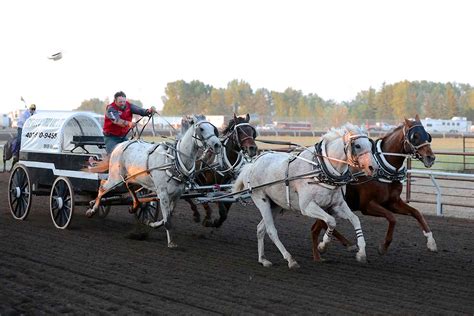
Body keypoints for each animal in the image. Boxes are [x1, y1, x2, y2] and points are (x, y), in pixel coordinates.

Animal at [86, 115, 221, 248]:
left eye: (213, 128)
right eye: (201, 129)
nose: (217, 145)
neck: (173, 160)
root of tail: (120, 145)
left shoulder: (176, 195)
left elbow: (169, 215)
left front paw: (152, 223)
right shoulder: (163, 194)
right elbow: (167, 220)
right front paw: (171, 243)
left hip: (132, 178)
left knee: (129, 187)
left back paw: (134, 206)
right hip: (116, 178)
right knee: (102, 187)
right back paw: (92, 210)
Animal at [233, 123, 378, 270]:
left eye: (370, 145)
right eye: (358, 145)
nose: (373, 167)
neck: (319, 169)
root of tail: (252, 164)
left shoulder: (337, 205)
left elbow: (355, 219)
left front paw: (361, 253)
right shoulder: (307, 206)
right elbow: (331, 221)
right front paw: (323, 246)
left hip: (275, 205)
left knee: (260, 229)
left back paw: (263, 259)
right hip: (262, 201)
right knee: (271, 230)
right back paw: (290, 259)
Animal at [312, 115, 436, 260]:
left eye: (427, 135)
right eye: (415, 136)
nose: (430, 158)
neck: (382, 169)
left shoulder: (392, 202)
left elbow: (417, 213)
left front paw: (431, 242)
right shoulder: (367, 206)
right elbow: (392, 218)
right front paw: (384, 246)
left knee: (318, 226)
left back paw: (343, 245)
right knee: (319, 226)